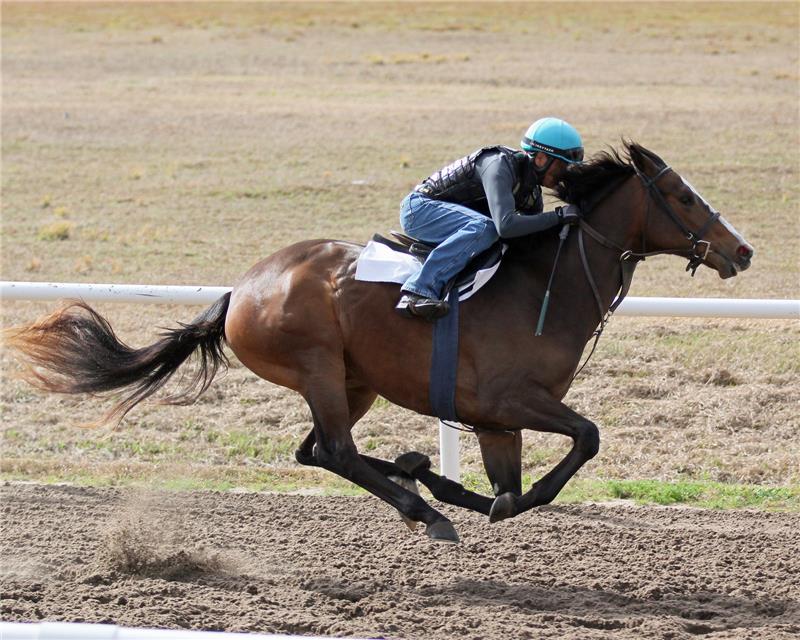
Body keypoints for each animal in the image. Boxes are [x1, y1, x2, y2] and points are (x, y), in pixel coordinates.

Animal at [6, 142, 752, 544]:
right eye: (684, 196)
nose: (742, 250)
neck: (547, 282)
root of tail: (241, 289)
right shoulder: (509, 401)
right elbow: (583, 441)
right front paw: (447, 491)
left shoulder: (494, 421)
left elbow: (512, 493)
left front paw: (448, 479)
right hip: (317, 366)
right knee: (334, 450)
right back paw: (423, 508)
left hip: (353, 380)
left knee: (316, 451)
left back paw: (418, 479)